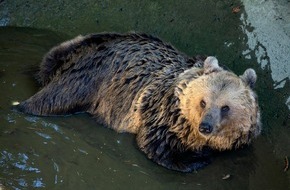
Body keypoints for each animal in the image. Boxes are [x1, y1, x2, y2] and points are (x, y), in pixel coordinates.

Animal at [18, 32, 262, 172]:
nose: (206, 126)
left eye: (225, 107)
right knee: (49, 100)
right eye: (203, 102)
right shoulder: (163, 114)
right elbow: (156, 145)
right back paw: (24, 107)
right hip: (86, 81)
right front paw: (197, 158)